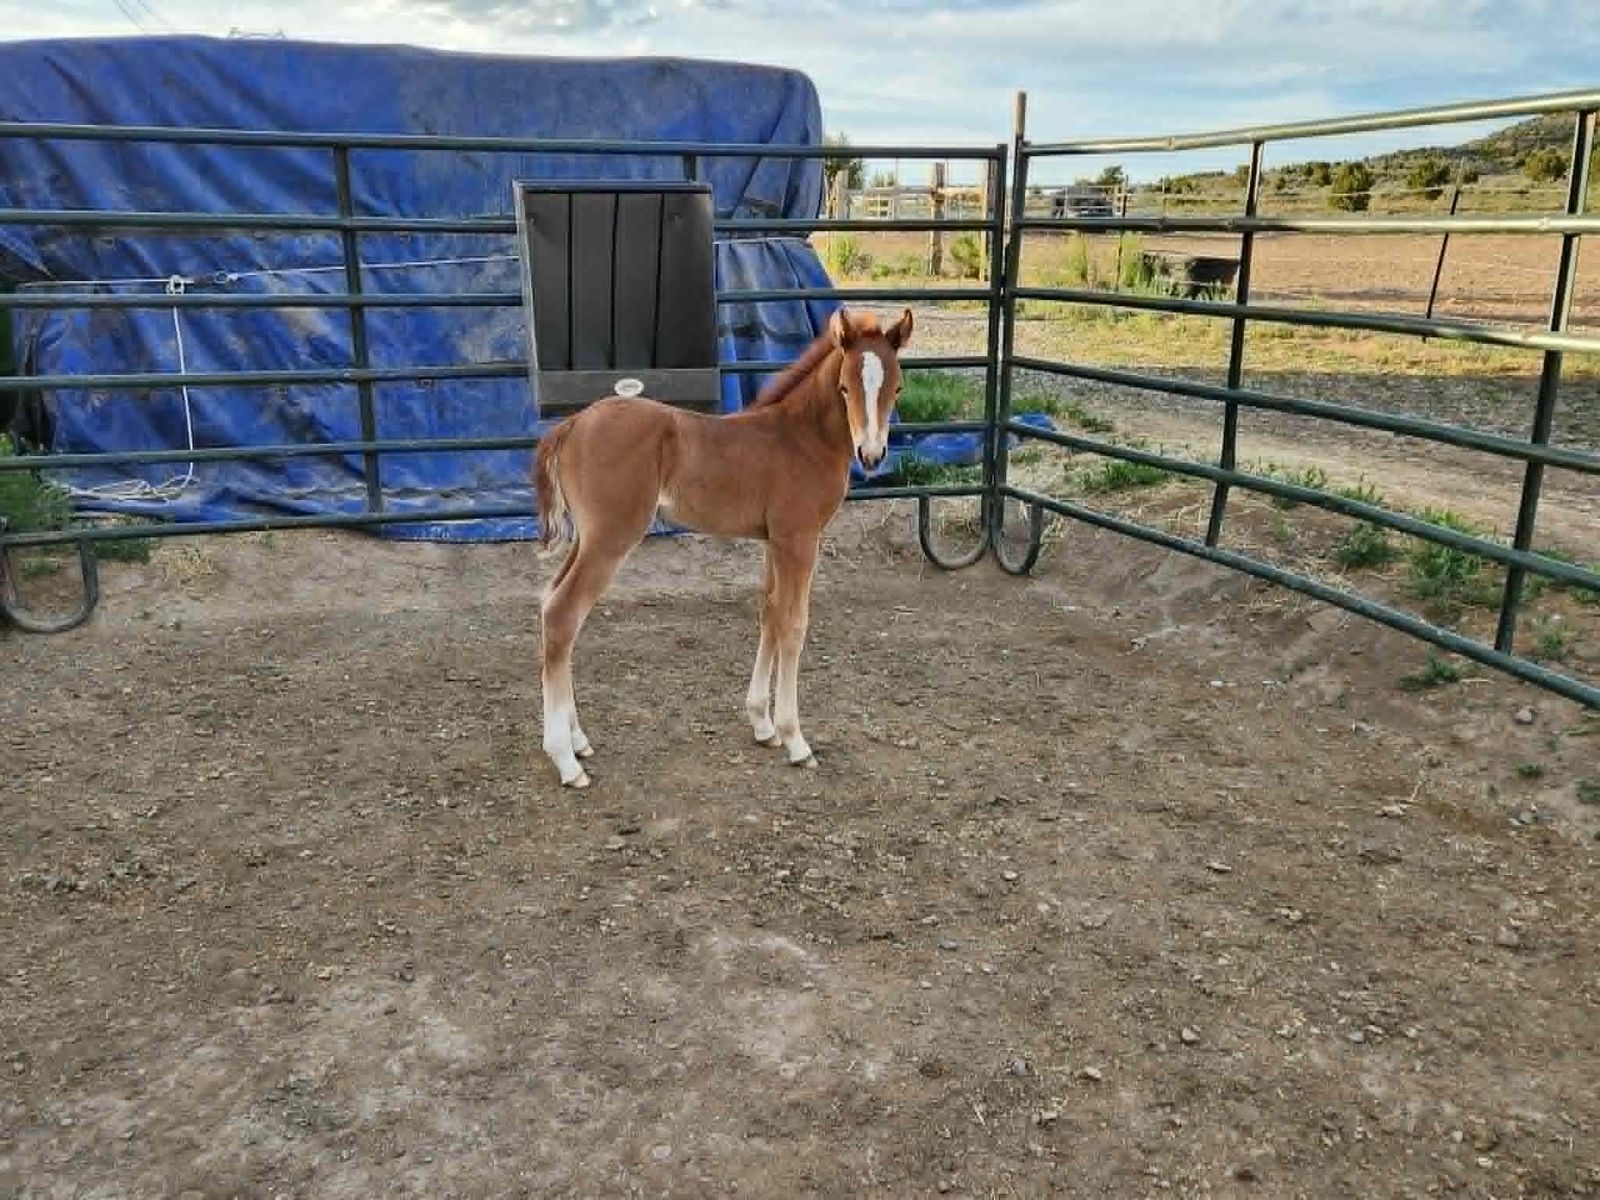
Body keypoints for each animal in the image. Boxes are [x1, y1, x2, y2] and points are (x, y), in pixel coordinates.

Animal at [532, 306, 914, 788]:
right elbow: (794, 625)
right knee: (563, 614)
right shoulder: (800, 539)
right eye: (845, 387)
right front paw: (796, 740)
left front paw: (763, 725)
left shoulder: (775, 542)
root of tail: (573, 423)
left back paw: (578, 739)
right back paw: (566, 760)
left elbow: (770, 614)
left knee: (551, 604)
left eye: (896, 387)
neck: (801, 438)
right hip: (610, 538)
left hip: (586, 538)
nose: (872, 455)